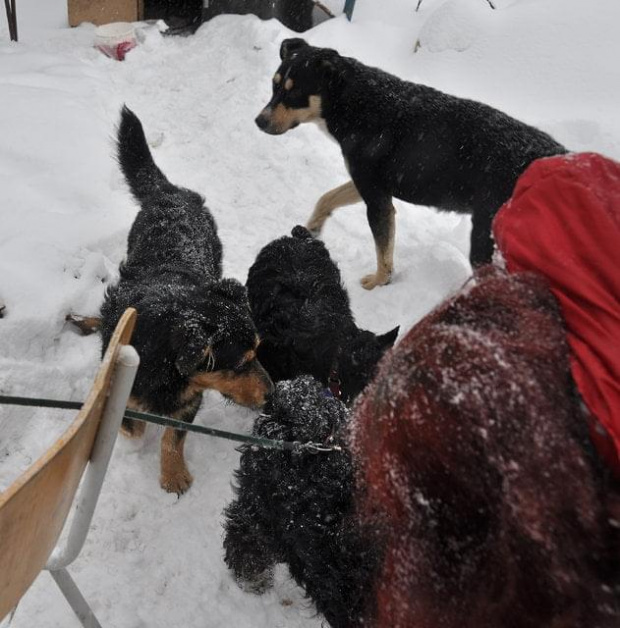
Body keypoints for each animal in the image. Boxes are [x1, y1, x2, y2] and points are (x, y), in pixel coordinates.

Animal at [100, 110, 272, 498]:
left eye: (258, 350)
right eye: (241, 362)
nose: (272, 395)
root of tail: (172, 192)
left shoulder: (190, 398)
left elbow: (173, 437)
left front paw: (173, 475)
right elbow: (132, 422)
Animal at [253, 40, 568, 290]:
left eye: (294, 93)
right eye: (274, 85)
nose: (259, 121)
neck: (354, 101)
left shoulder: (377, 199)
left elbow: (383, 252)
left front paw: (378, 283)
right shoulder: (367, 182)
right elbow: (326, 198)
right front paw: (313, 228)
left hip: (485, 237)